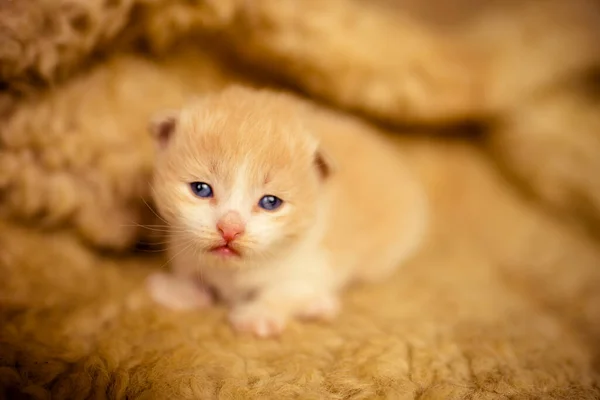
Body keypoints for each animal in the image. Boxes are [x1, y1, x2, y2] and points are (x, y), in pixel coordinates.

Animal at [145, 85, 426, 338]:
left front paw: (258, 316)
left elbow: (288, 289)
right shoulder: (182, 243)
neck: (235, 271)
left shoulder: (317, 258)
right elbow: (188, 270)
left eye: (271, 202)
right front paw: (178, 290)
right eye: (201, 189)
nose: (230, 229)